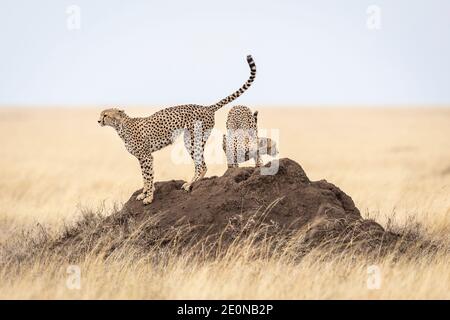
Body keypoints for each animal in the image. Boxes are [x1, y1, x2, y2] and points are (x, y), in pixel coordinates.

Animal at [97, 54, 256, 204]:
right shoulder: (142, 158)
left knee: (202, 165)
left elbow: (148, 177)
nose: (98, 121)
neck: (121, 126)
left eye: (105, 115)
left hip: (193, 140)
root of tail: (206, 107)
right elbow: (145, 177)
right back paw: (192, 183)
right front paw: (144, 193)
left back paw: (190, 184)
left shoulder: (146, 156)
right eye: (101, 114)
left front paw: (149, 198)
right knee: (201, 164)